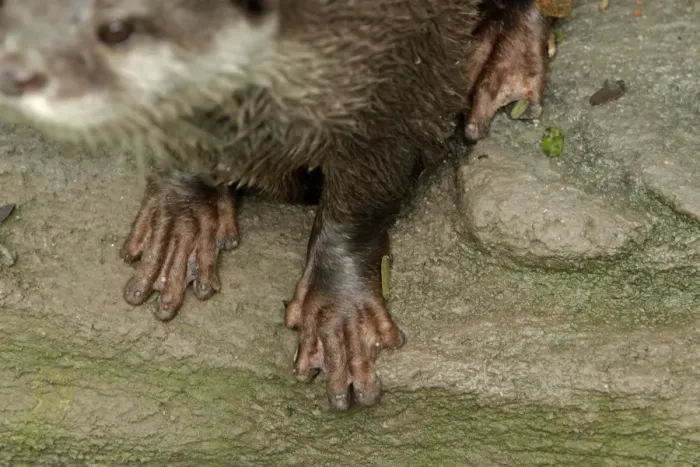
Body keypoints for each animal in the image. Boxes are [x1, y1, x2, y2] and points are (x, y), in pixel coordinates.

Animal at [0, 0, 551, 411]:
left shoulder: (405, 60)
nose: (20, 74)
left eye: (117, 30)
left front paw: (339, 316)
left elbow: (372, 172)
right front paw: (180, 220)